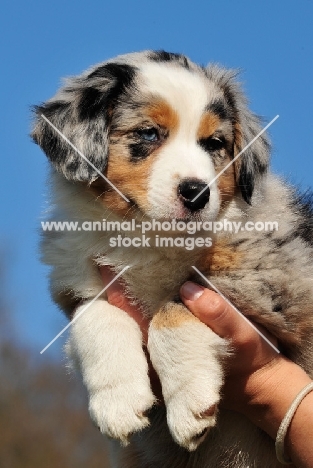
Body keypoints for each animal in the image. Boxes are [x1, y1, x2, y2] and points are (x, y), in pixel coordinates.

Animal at [31, 49, 312, 466]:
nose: (197, 194)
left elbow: (173, 308)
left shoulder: (273, 285)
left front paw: (190, 403)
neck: (149, 237)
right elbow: (94, 314)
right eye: (149, 133)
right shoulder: (77, 284)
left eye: (214, 142)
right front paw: (117, 402)